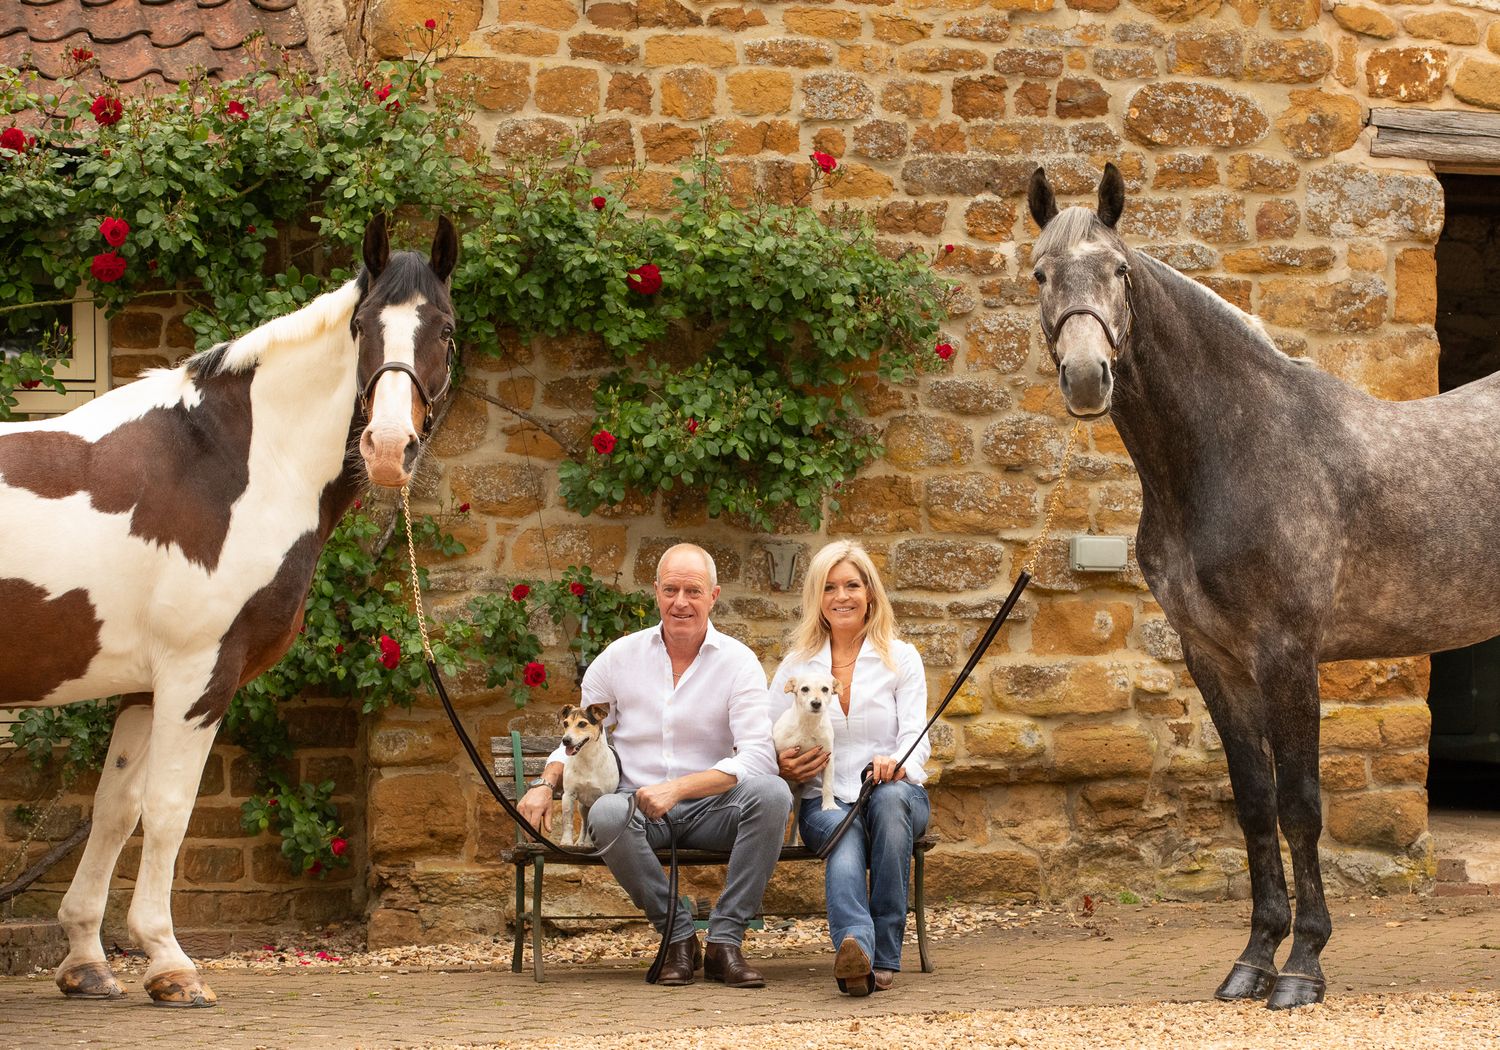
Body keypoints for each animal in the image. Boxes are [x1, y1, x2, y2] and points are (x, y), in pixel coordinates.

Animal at [0, 213, 458, 1007]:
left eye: (447, 330)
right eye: (363, 326)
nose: (388, 447)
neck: (222, 464)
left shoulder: (143, 689)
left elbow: (115, 810)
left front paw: (86, 960)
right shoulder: (198, 674)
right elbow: (168, 810)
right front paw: (170, 963)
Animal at [1026, 164, 1492, 1010]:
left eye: (1119, 271)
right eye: (1040, 273)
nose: (1085, 377)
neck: (1238, 449)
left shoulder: (1287, 657)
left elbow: (1300, 807)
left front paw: (1303, 966)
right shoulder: (1214, 659)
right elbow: (1251, 804)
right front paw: (1252, 959)